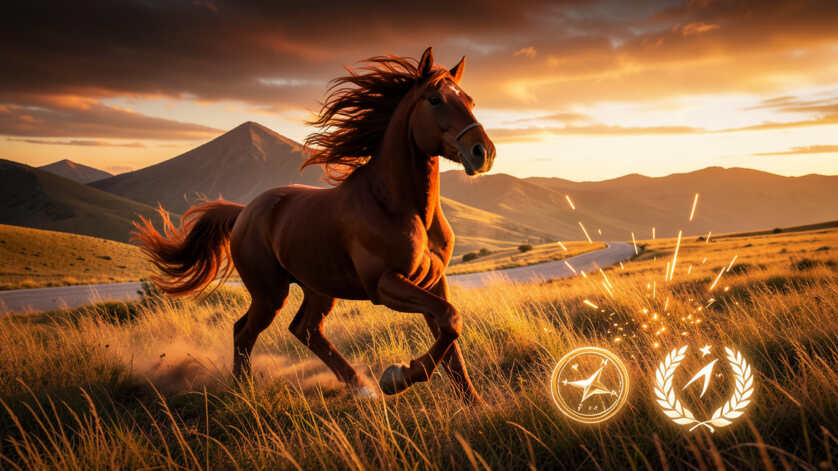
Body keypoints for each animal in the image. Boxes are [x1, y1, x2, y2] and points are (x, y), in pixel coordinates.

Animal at [133, 47, 496, 403]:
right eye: (435, 99)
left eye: (471, 100)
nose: (483, 152)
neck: (401, 208)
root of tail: (245, 212)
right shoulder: (384, 284)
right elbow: (449, 320)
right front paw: (397, 377)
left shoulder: (433, 282)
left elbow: (450, 333)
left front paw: (472, 402)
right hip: (270, 293)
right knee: (244, 331)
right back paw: (246, 392)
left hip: (318, 288)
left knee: (305, 330)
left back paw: (361, 388)